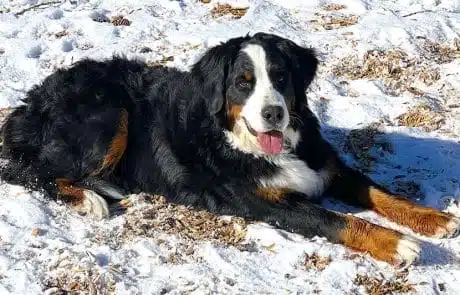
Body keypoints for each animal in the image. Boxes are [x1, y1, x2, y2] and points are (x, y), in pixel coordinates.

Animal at [0, 33, 460, 268]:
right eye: (243, 83)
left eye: (280, 76)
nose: (273, 113)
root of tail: (30, 103)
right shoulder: (271, 204)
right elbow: (341, 220)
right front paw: (399, 245)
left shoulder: (327, 167)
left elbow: (381, 193)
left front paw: (434, 219)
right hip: (109, 114)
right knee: (30, 170)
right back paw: (88, 199)